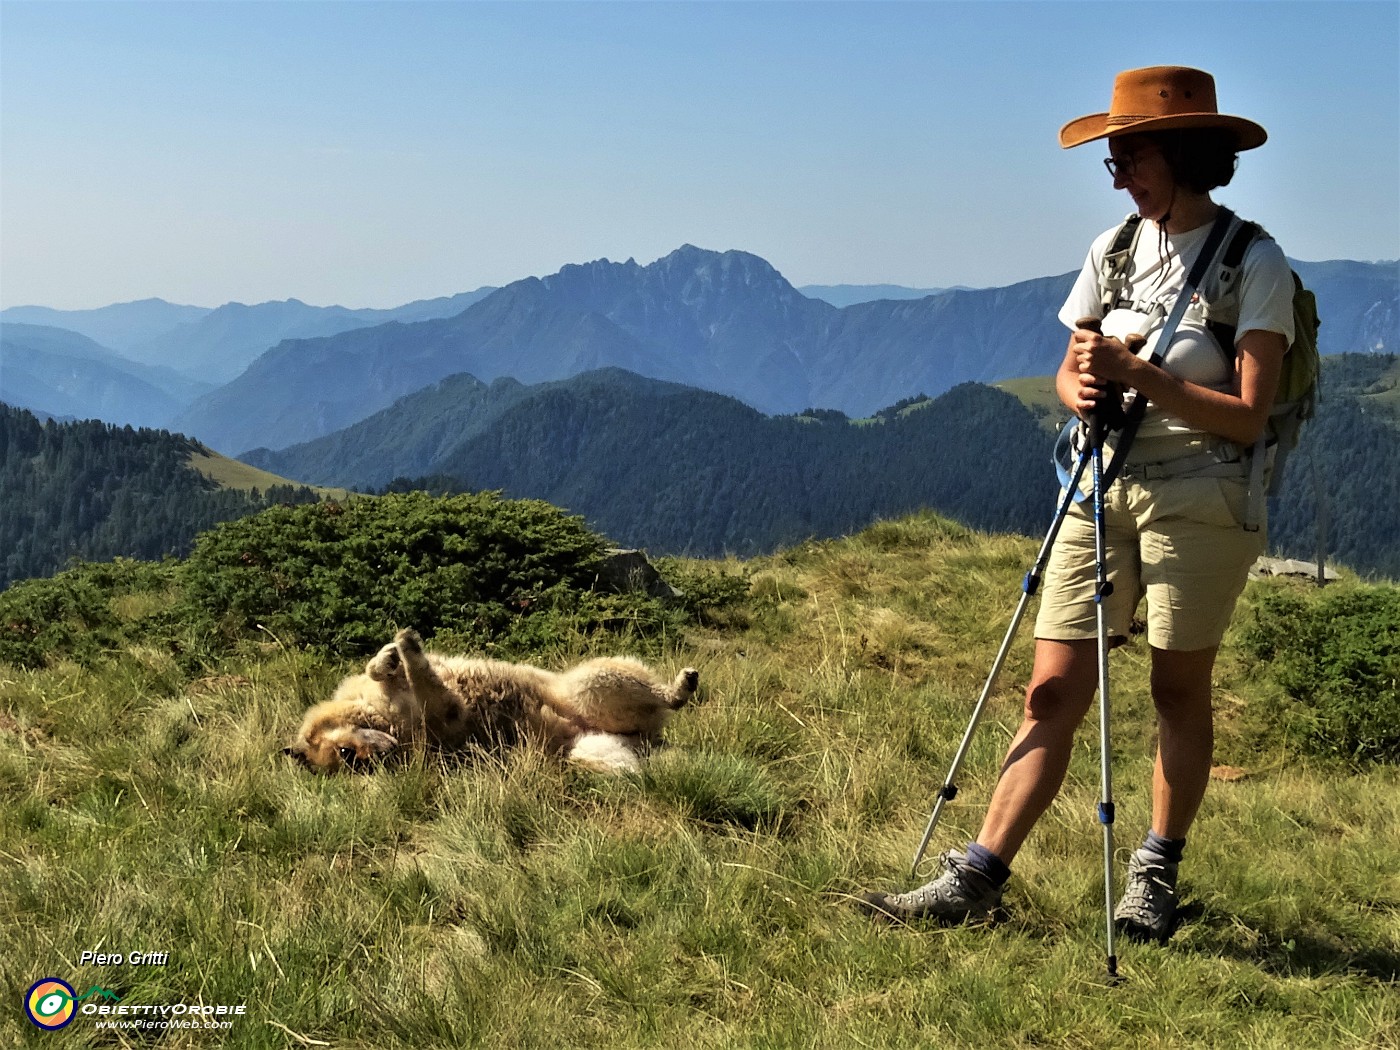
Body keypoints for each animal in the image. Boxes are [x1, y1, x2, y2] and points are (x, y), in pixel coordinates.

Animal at [285, 630, 700, 778]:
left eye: (345, 752)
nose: (381, 758)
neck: (384, 719)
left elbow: (377, 669)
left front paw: (390, 656)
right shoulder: (445, 713)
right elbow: (429, 687)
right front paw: (405, 649)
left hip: (594, 688)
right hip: (588, 709)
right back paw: (680, 690)